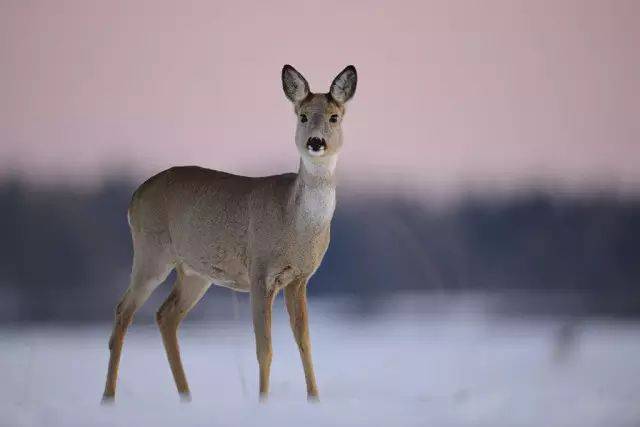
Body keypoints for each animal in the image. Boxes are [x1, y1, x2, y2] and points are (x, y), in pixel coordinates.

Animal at [102, 63, 358, 402]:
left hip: (195, 272)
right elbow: (264, 349)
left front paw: (314, 400)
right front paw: (263, 402)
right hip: (150, 253)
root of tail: (134, 198)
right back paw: (108, 398)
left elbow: (305, 344)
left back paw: (187, 397)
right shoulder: (260, 273)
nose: (316, 142)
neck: (295, 222)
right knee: (123, 310)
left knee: (165, 315)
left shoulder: (300, 279)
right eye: (302, 116)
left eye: (334, 117)